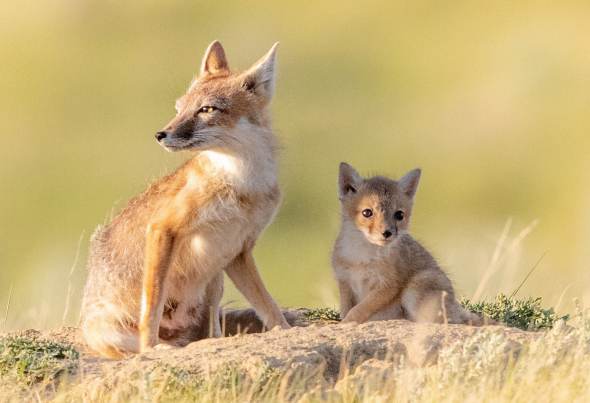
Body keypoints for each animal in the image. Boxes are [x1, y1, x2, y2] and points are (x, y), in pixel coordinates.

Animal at [80, 39, 292, 358]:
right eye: (179, 108)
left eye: (206, 109)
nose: (161, 134)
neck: (242, 184)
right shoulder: (162, 228)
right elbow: (152, 306)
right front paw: (149, 347)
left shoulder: (239, 251)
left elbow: (270, 308)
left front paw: (288, 331)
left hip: (215, 281)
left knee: (213, 331)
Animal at [332, 163, 494, 326]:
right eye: (367, 212)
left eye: (399, 215)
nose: (387, 233)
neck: (361, 257)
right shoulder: (344, 281)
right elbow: (347, 310)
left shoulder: (387, 286)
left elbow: (358, 311)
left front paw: (346, 323)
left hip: (415, 289)